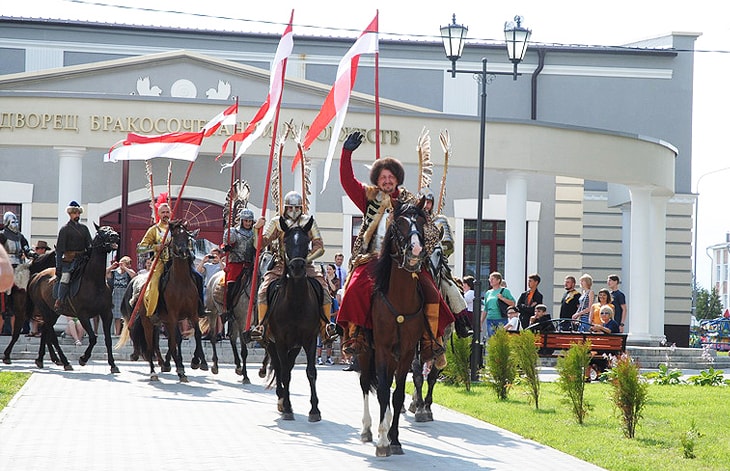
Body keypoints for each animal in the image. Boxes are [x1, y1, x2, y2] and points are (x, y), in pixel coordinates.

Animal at [23, 225, 119, 372]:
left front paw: (113, 365)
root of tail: (37, 276)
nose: (115, 236)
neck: (94, 281)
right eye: (101, 232)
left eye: (111, 229)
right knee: (51, 334)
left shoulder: (107, 313)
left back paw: (42, 359)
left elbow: (108, 340)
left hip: (53, 313)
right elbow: (93, 338)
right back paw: (64, 361)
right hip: (45, 310)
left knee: (46, 330)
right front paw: (83, 358)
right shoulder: (83, 315)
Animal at [260, 219, 320, 422]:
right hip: (270, 342)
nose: (297, 268)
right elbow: (284, 372)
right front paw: (286, 406)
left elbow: (311, 372)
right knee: (280, 367)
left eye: (306, 241)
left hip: (294, 346)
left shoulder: (310, 340)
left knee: (289, 366)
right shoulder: (279, 340)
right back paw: (281, 398)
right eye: (286, 241)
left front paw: (314, 410)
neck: (296, 303)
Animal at [354, 200, 426, 458]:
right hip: (365, 351)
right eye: (399, 224)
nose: (416, 251)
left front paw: (394, 439)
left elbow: (396, 395)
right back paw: (367, 429)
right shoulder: (382, 348)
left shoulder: (405, 352)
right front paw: (383, 442)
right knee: (366, 383)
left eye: (421, 221)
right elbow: (383, 390)